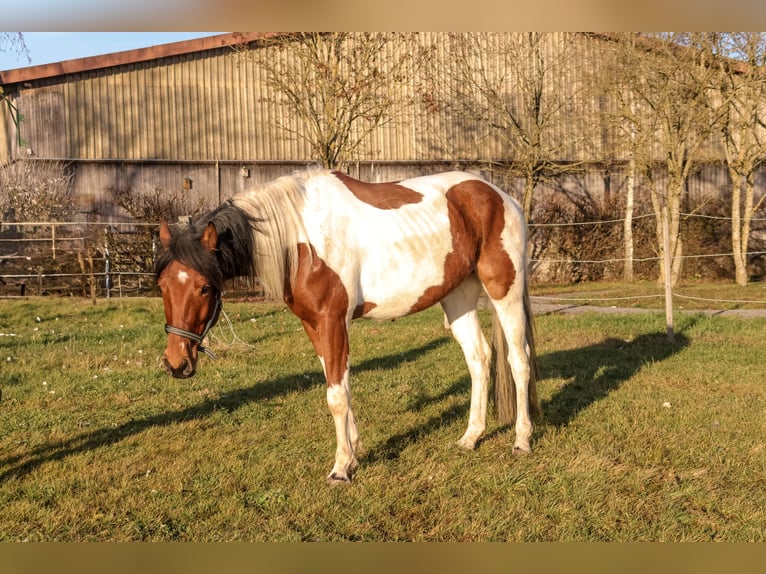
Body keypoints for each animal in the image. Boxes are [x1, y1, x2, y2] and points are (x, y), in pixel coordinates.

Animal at [154, 169, 540, 484]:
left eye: (204, 288)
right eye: (162, 286)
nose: (176, 363)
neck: (301, 238)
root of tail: (500, 196)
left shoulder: (332, 320)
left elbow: (336, 396)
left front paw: (341, 468)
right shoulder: (314, 325)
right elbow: (340, 385)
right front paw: (353, 451)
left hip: (504, 291)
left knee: (518, 360)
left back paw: (522, 440)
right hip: (458, 297)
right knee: (479, 360)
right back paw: (470, 437)